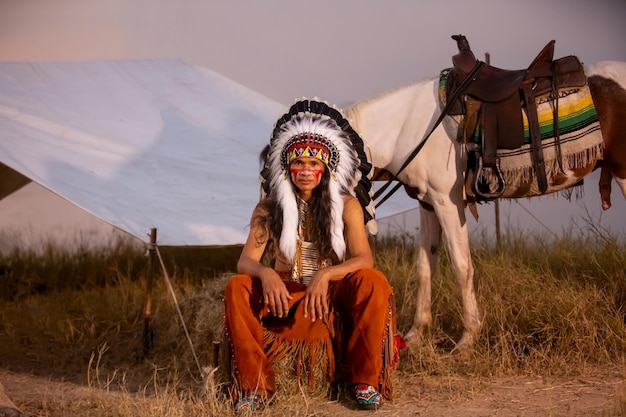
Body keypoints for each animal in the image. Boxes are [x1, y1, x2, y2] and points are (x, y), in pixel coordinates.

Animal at [342, 53, 624, 350]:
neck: (407, 128)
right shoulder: (428, 203)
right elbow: (425, 267)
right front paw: (416, 335)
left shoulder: (448, 203)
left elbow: (461, 265)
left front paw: (467, 339)